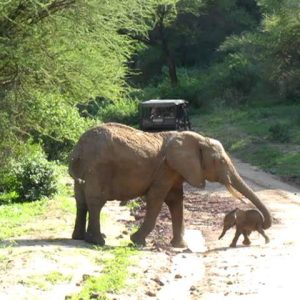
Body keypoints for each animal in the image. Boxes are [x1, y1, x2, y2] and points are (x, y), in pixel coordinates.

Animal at [68, 122, 272, 246]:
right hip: (98, 168)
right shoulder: (166, 169)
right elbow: (156, 199)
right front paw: (136, 241)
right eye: (220, 161)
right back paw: (97, 241)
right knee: (95, 201)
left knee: (81, 201)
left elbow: (176, 200)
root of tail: (78, 148)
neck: (197, 138)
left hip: (86, 169)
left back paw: (81, 238)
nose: (260, 221)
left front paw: (179, 245)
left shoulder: (175, 171)